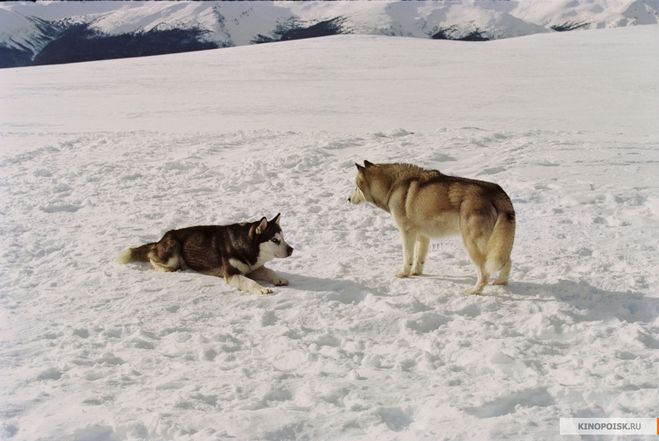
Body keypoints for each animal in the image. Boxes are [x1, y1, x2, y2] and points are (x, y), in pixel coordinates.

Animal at [118, 214, 294, 296]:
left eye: (283, 238)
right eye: (275, 240)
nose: (291, 249)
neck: (245, 245)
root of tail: (162, 238)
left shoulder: (253, 267)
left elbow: (268, 270)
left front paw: (278, 279)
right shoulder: (232, 274)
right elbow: (249, 282)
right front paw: (262, 289)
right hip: (172, 253)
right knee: (151, 256)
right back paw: (167, 269)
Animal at [348, 160, 520, 294]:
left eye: (355, 186)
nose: (348, 199)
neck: (393, 186)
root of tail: (497, 192)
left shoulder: (406, 232)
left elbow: (408, 257)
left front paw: (404, 274)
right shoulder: (423, 236)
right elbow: (419, 258)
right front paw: (416, 273)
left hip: (474, 245)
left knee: (484, 273)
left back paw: (475, 291)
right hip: (495, 247)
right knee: (507, 261)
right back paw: (500, 283)